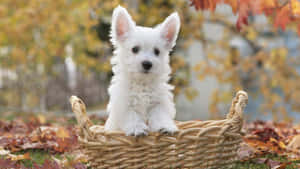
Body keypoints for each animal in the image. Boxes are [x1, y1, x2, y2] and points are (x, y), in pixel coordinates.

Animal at [105, 5, 180, 137]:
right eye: (134, 49)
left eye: (157, 51)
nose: (147, 64)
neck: (142, 83)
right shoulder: (124, 105)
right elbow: (132, 116)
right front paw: (137, 128)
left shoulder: (159, 103)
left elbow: (160, 116)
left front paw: (166, 127)